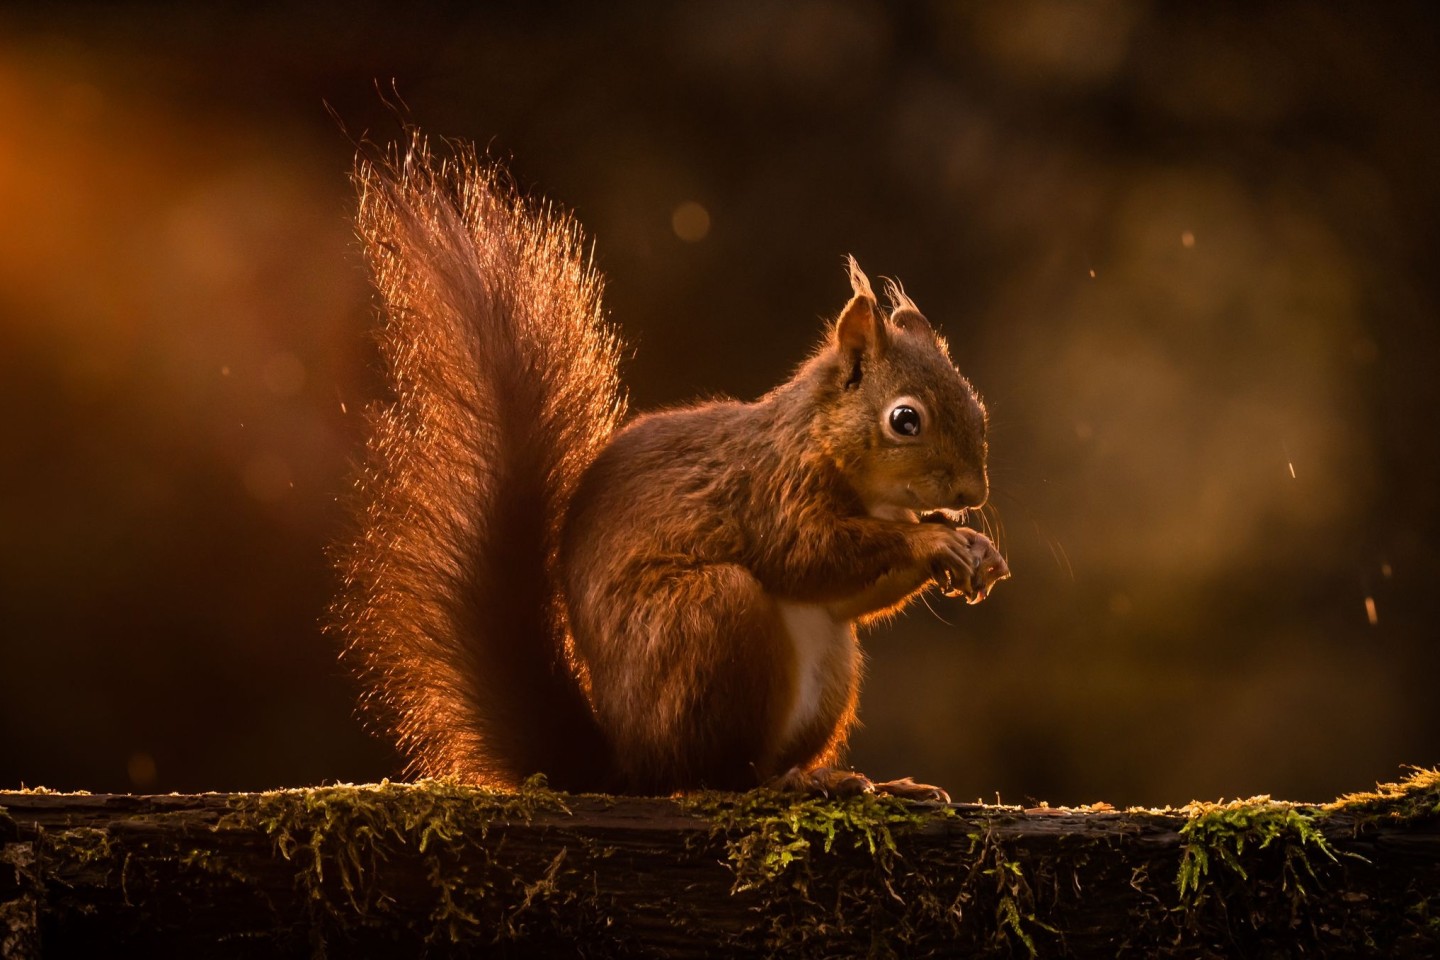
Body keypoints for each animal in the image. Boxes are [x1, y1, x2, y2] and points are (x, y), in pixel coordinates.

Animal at [331, 133, 1008, 794]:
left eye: (976, 404)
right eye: (905, 420)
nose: (972, 493)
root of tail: (627, 763)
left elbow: (849, 595)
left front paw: (974, 548)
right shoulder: (771, 490)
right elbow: (806, 554)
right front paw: (934, 542)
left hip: (827, 665)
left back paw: (860, 780)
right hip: (707, 621)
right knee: (714, 771)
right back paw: (792, 784)